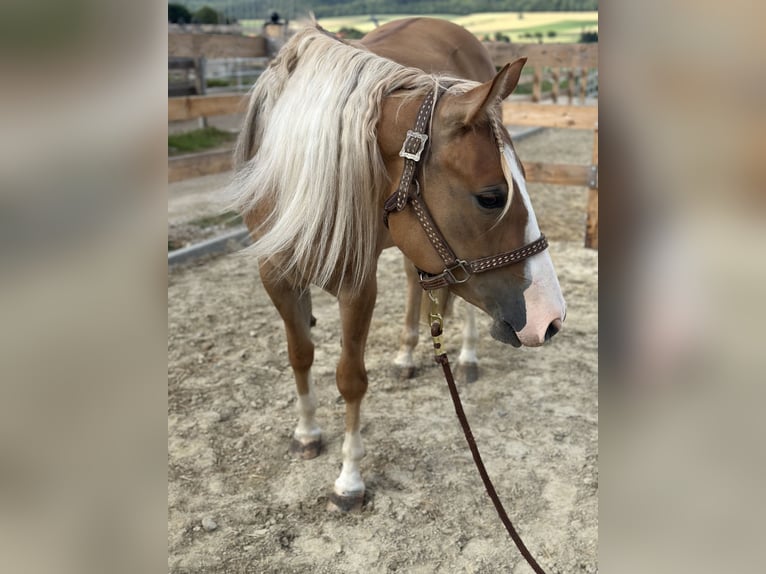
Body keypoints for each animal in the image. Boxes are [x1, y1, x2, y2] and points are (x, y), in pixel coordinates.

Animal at [229, 18, 566, 511]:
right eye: (491, 197)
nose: (552, 318)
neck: (300, 171)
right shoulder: (277, 277)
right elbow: (300, 355)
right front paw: (307, 432)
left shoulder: (356, 286)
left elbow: (350, 378)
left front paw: (349, 479)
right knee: (414, 282)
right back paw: (407, 355)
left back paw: (466, 356)